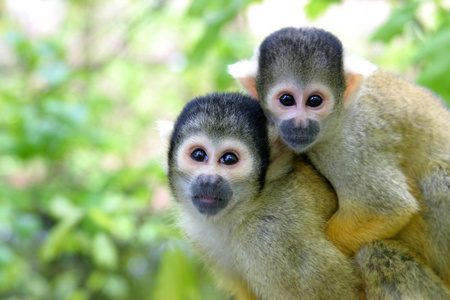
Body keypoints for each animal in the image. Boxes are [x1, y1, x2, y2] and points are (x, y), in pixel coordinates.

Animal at [229, 26, 450, 284]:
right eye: (286, 100)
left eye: (315, 101)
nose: (300, 124)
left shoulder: (348, 146)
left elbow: (386, 208)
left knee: (436, 179)